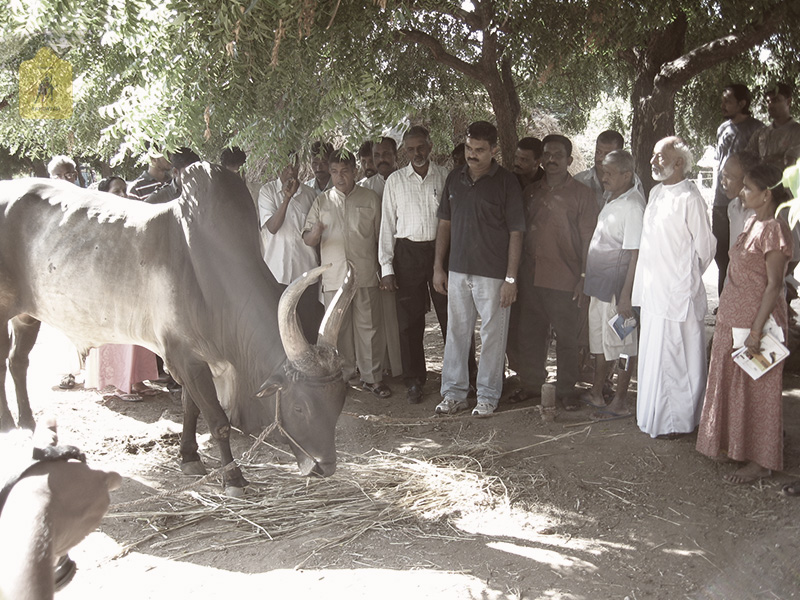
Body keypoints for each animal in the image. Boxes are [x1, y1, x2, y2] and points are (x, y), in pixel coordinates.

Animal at [0, 162, 356, 494]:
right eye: (299, 406)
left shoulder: (197, 362)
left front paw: (189, 458)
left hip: (27, 314)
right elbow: (217, 421)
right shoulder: (183, 358)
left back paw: (29, 428)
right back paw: (9, 427)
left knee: (18, 362)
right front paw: (233, 479)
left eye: (340, 401)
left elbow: (190, 409)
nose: (325, 467)